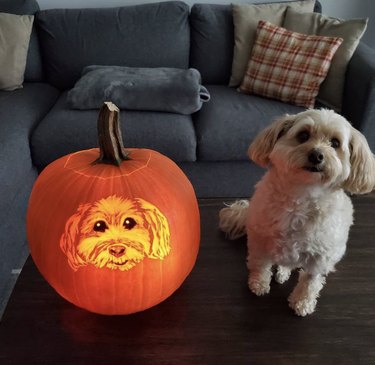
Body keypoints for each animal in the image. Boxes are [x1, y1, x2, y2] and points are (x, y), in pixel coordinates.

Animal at [220, 109, 375, 316]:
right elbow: (260, 264)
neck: (302, 195)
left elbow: (310, 282)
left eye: (335, 143)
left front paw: (302, 302)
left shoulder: (320, 257)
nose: (316, 155)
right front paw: (258, 284)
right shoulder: (259, 240)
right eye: (303, 135)